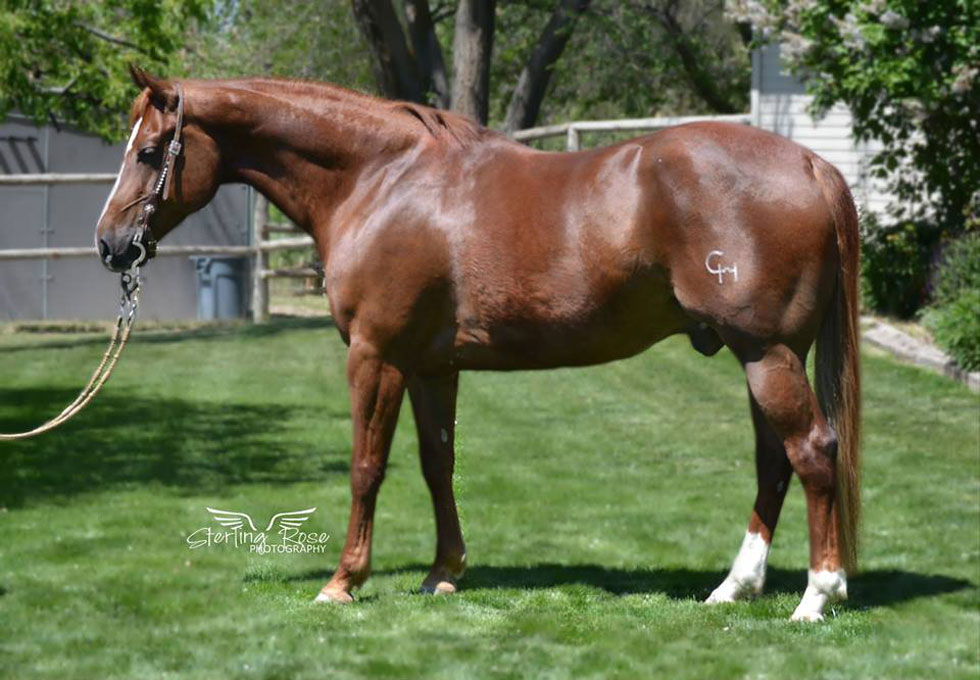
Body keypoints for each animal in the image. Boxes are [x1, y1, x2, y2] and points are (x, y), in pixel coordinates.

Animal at [96, 66, 860, 621]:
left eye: (148, 151)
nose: (110, 245)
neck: (380, 180)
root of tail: (813, 167)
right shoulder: (432, 366)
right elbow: (439, 464)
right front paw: (444, 573)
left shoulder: (375, 356)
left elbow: (366, 467)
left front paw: (343, 582)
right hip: (760, 357)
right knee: (774, 463)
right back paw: (735, 588)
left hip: (766, 354)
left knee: (812, 451)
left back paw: (816, 597)